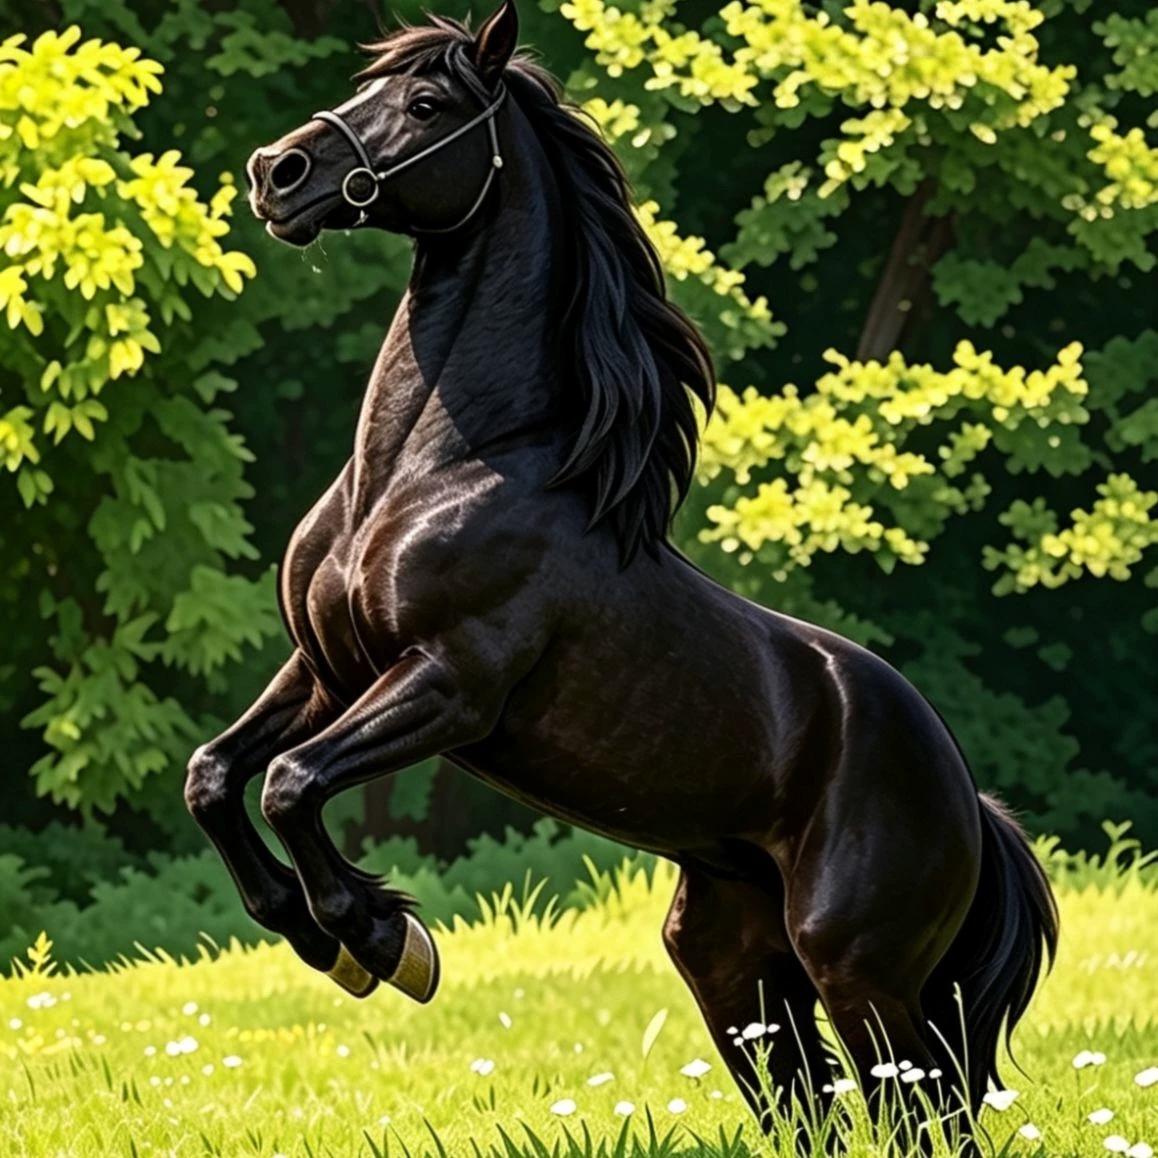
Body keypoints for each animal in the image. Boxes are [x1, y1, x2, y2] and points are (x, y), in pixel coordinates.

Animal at [185, 0, 1057, 1127]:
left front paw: (385, 942)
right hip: (736, 974)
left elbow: (290, 784)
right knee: (816, 1106)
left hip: (862, 974)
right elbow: (217, 776)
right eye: (368, 86)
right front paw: (320, 935)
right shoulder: (326, 670)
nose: (277, 173)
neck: (435, 469)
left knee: (923, 1112)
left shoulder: (448, 684)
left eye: (425, 105)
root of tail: (969, 799)